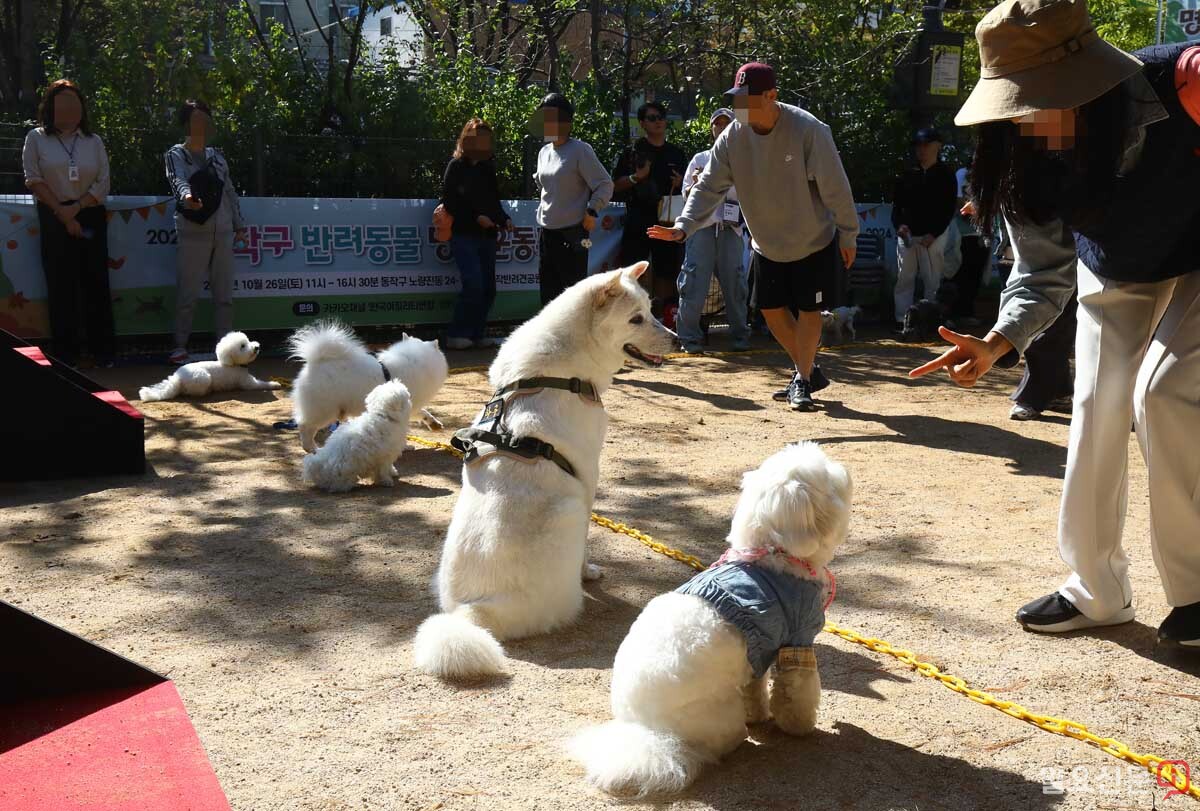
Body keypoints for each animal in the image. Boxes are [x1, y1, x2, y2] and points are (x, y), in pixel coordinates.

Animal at [138, 333, 280, 403]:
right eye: (242, 346)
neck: (234, 363)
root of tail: (177, 378)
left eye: (247, 341)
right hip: (204, 378)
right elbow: (261, 384)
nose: (256, 347)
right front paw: (275, 384)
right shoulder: (247, 383)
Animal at [286, 321, 451, 448]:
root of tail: (316, 362)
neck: (416, 361)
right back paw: (312, 449)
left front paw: (434, 423)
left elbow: (424, 412)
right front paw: (405, 446)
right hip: (324, 411)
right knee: (305, 427)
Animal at [410, 262, 676, 681]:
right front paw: (590, 572)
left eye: (650, 311)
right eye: (636, 319)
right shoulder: (587, 479)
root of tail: (472, 613)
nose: (679, 340)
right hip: (568, 513)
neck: (556, 375)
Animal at [564, 441, 854, 796]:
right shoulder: (798, 637)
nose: (844, 469)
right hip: (720, 715)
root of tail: (646, 731)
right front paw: (799, 727)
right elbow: (797, 691)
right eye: (827, 476)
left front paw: (759, 713)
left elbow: (756, 687)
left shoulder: (758, 650)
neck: (772, 555)